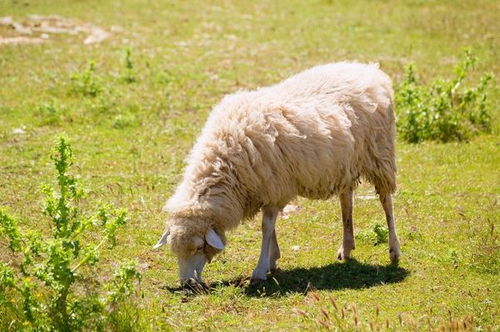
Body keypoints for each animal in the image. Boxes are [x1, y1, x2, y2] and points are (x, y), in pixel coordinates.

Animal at [154, 61, 400, 284]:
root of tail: (370, 70)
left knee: (386, 201)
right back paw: (346, 247)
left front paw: (261, 269)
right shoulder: (267, 188)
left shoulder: (273, 186)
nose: (186, 283)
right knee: (346, 200)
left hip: (380, 154)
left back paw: (394, 251)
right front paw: (272, 260)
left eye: (198, 247)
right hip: (345, 163)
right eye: (175, 251)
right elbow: (269, 228)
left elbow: (266, 227)